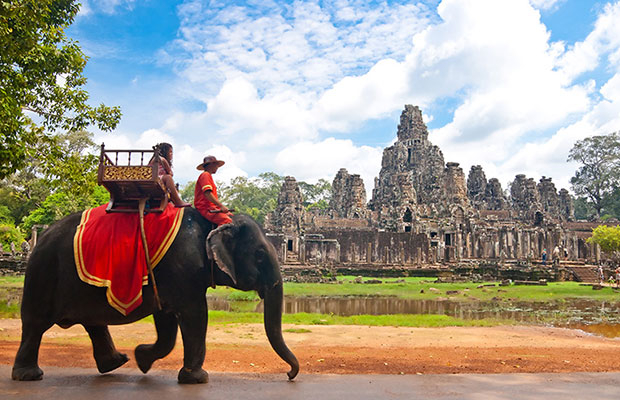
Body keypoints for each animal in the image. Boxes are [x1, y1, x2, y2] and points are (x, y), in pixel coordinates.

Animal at [11, 208, 298, 382]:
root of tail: (41, 237)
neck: (213, 221)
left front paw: (142, 359)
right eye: (259, 255)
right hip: (43, 274)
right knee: (35, 325)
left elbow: (167, 324)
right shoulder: (183, 270)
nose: (289, 374)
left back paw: (116, 363)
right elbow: (195, 315)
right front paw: (197, 378)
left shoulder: (167, 280)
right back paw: (29, 375)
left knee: (93, 323)